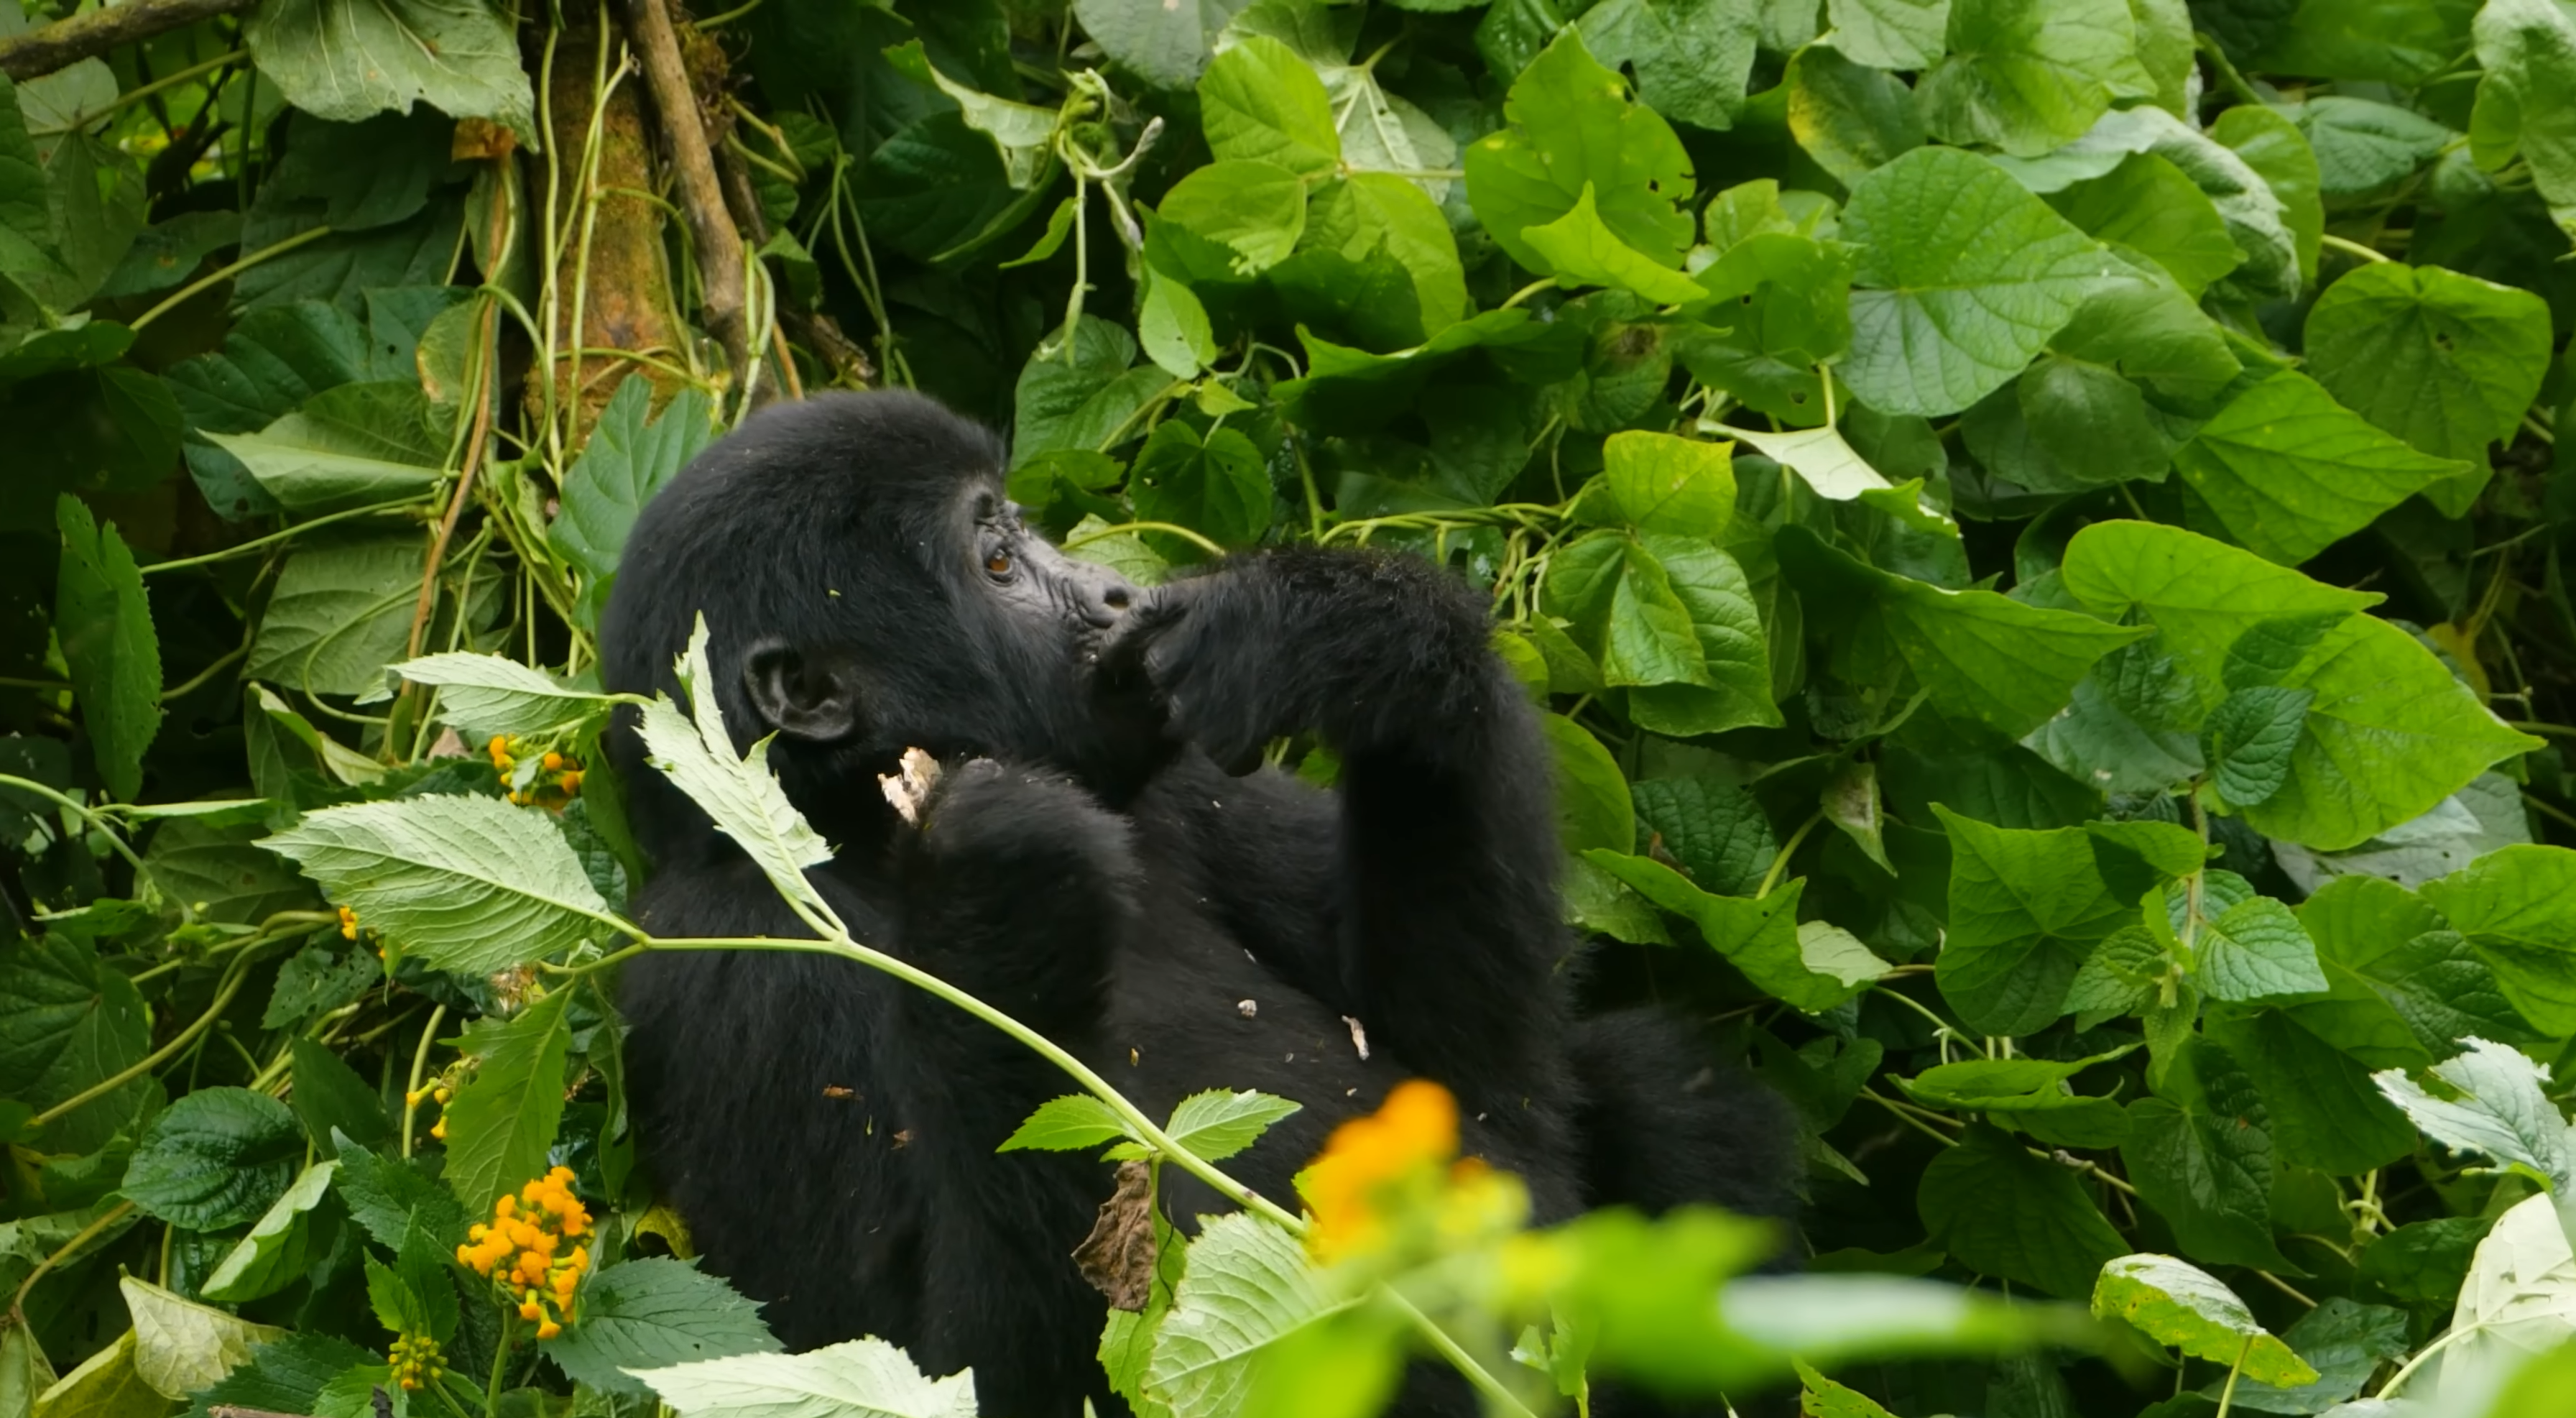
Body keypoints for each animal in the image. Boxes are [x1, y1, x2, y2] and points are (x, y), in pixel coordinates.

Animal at [597, 392, 1793, 1418]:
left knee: (1648, 1081)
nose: (1121, 595)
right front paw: (1004, 906)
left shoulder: (1185, 775)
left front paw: (1360, 633)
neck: (851, 831)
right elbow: (929, 1367)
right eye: (998, 561)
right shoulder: (738, 972)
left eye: (1020, 532)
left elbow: (1484, 1093)